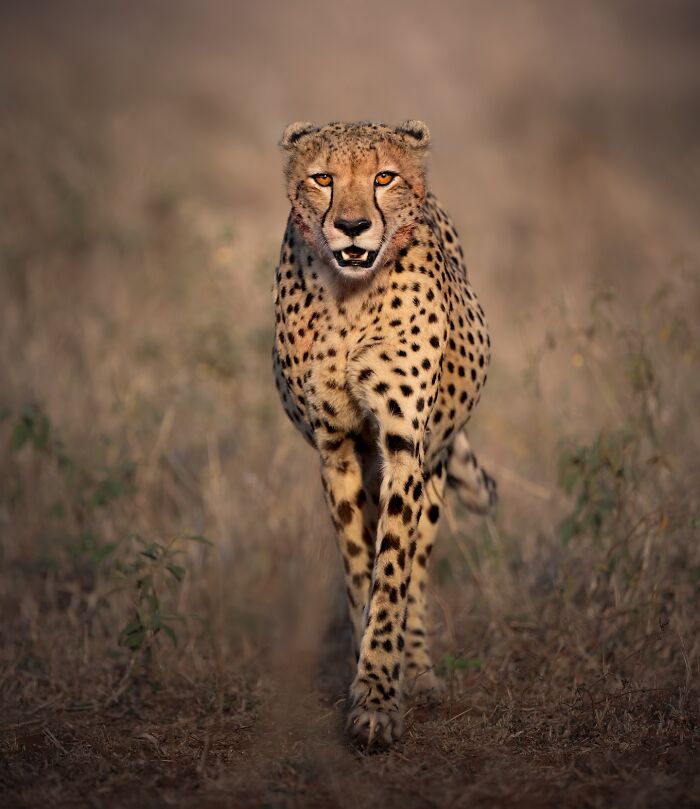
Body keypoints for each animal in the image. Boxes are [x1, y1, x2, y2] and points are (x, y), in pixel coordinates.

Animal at [272, 120, 497, 747]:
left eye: (384, 177)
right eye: (323, 178)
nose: (352, 226)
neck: (350, 297)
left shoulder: (402, 447)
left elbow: (393, 570)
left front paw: (379, 694)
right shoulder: (338, 449)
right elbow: (358, 566)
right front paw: (362, 677)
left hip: (434, 463)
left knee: (417, 564)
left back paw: (416, 668)